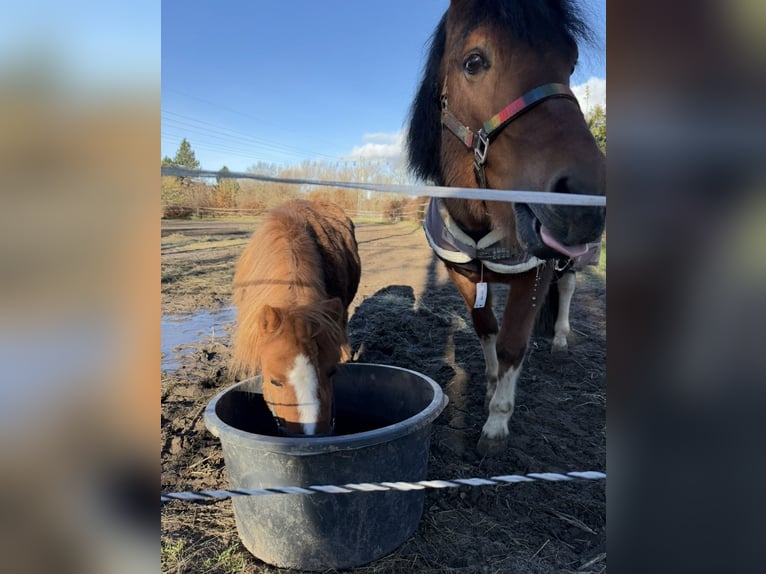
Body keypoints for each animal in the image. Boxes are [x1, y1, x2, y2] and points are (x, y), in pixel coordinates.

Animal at [408, 0, 606, 455]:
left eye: (571, 63)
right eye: (474, 61)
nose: (584, 200)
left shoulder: (536, 272)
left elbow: (513, 343)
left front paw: (497, 424)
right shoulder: (463, 273)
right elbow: (487, 330)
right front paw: (489, 386)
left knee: (569, 289)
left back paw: (561, 339)